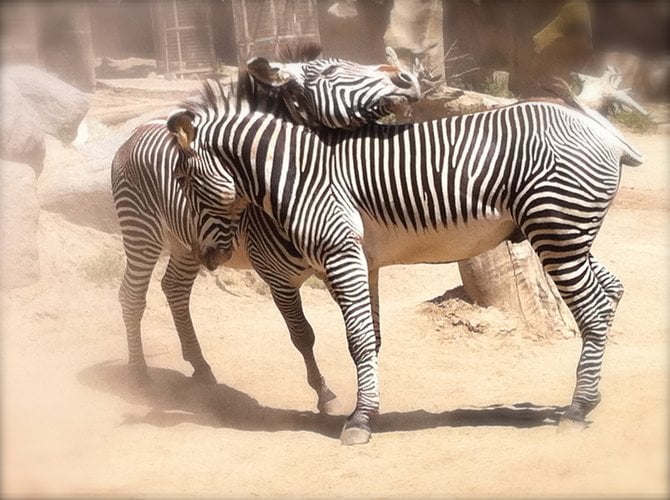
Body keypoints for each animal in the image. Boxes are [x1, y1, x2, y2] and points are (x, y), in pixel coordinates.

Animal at [112, 53, 422, 414]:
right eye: (331, 70)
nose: (409, 79)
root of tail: (137, 130)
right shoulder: (276, 276)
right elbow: (303, 335)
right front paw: (325, 394)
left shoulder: (336, 263)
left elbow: (366, 328)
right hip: (141, 233)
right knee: (131, 295)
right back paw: (139, 375)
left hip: (186, 245)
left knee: (174, 288)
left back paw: (200, 367)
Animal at [171, 82, 644, 446]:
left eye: (184, 180)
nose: (205, 257)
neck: (301, 175)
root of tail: (600, 129)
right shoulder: (365, 262)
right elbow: (370, 338)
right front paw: (370, 411)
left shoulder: (340, 254)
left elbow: (358, 339)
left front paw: (359, 421)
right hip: (567, 235)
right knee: (611, 291)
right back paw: (591, 397)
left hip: (556, 230)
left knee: (593, 310)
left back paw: (577, 409)